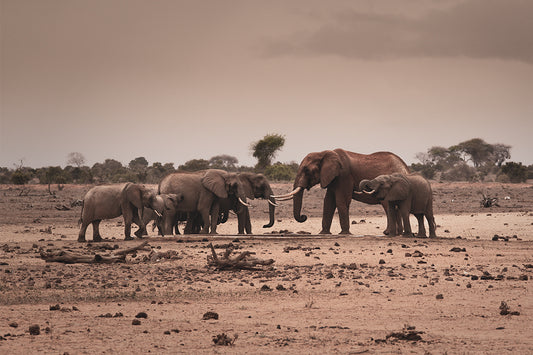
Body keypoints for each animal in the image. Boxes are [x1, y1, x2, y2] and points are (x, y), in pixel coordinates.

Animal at [272, 149, 410, 235]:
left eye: (306, 170)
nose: (304, 217)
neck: (323, 153)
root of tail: (405, 168)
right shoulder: (331, 178)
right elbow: (328, 202)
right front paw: (323, 233)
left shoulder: (343, 175)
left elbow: (340, 200)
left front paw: (344, 233)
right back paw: (397, 233)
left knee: (388, 206)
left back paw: (388, 233)